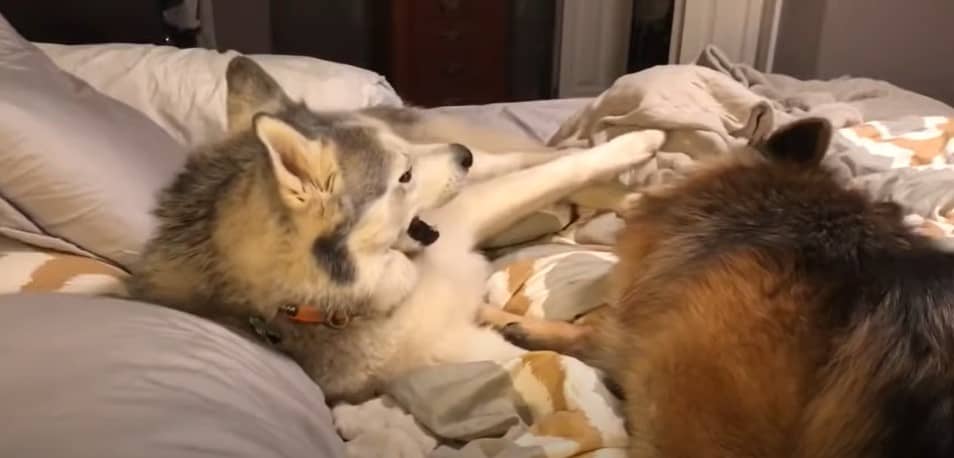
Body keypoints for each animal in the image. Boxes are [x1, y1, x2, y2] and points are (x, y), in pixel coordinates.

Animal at [124, 55, 660, 402]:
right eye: (402, 176)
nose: (461, 154)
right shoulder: (463, 349)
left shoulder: (473, 209)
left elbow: (564, 168)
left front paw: (636, 146)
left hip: (482, 168)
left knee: (543, 159)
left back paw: (630, 183)